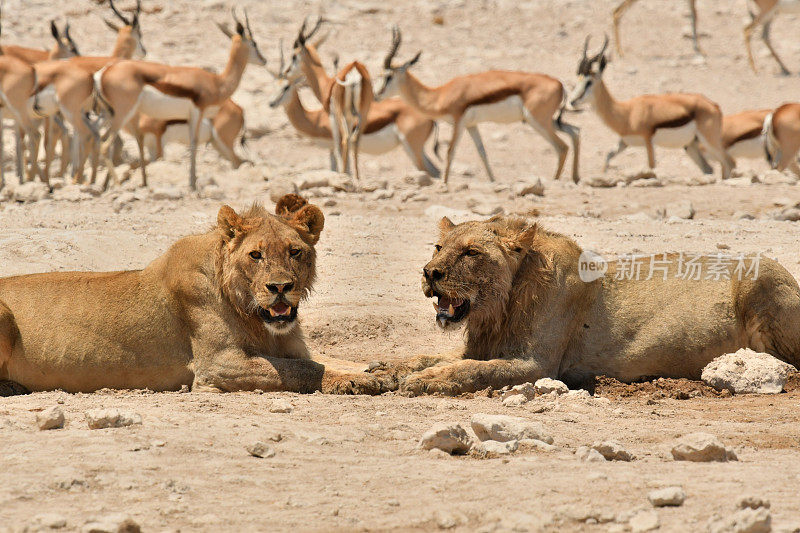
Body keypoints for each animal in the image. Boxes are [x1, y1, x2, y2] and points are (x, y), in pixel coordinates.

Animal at [0, 195, 390, 394]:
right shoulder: (218, 365)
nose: (280, 288)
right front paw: (357, 381)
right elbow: (306, 368)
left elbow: (329, 357)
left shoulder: (288, 345)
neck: (254, 317)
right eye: (256, 255)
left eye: (295, 251)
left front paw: (382, 370)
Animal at [374, 214, 800, 392]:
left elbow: (473, 372)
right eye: (438, 248)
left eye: (470, 252)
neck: (498, 309)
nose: (430, 272)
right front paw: (379, 372)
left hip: (762, 277)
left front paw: (423, 382)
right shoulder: (480, 348)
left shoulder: (536, 365)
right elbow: (427, 359)